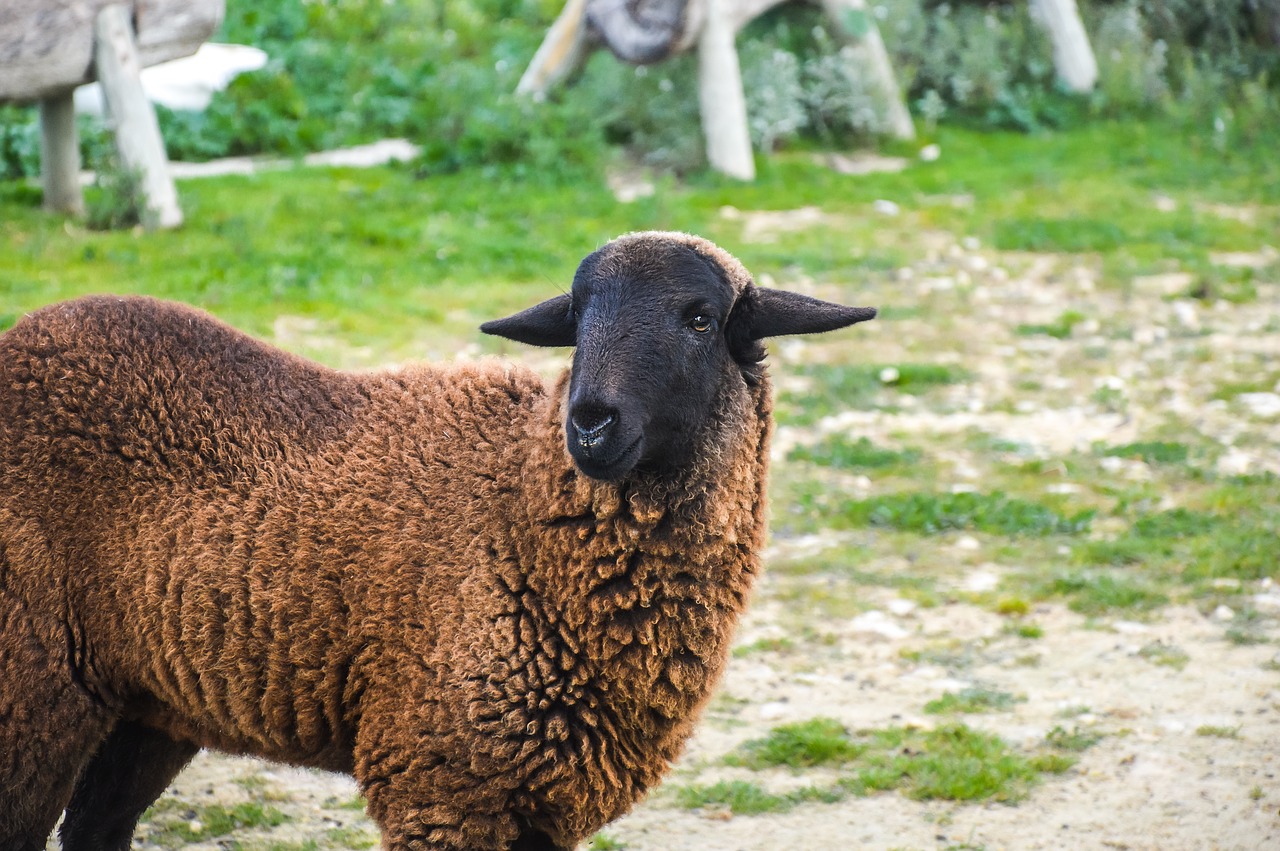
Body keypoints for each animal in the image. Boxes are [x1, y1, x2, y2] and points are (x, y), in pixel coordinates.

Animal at [0, 229, 875, 844]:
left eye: (699, 318)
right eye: (578, 319)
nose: (591, 422)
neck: (520, 513)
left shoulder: (540, 799)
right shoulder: (442, 780)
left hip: (146, 699)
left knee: (96, 827)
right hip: (32, 687)